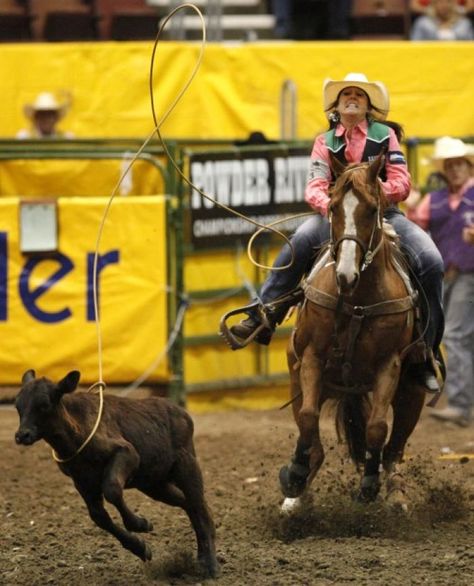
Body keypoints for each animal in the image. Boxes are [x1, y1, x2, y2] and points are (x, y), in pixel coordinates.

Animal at [280, 152, 428, 512]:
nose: (345, 275)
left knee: (394, 448)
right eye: (333, 207)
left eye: (372, 209)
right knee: (312, 435)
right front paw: (295, 475)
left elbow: (376, 429)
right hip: (299, 378)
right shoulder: (311, 358)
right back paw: (296, 495)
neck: (357, 301)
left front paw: (369, 486)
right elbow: (308, 418)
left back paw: (396, 493)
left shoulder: (389, 364)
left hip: (412, 391)